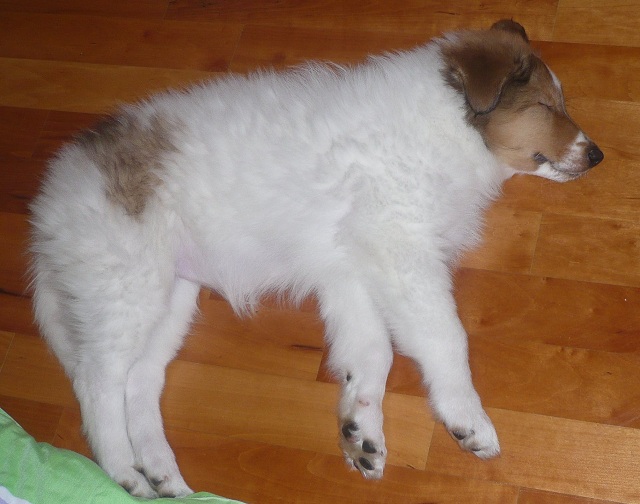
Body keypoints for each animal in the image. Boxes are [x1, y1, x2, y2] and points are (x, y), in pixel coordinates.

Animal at [29, 19, 603, 497]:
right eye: (546, 108)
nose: (597, 155)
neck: (449, 129)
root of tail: (49, 209)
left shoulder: (351, 271)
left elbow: (372, 353)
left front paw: (360, 433)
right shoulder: (401, 249)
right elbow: (446, 338)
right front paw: (469, 420)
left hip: (170, 294)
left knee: (140, 381)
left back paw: (161, 473)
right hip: (125, 283)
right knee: (97, 381)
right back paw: (122, 472)